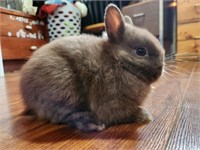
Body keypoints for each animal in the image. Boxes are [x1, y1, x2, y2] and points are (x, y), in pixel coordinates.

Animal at [19, 3, 164, 132]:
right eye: (141, 51)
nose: (160, 69)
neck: (119, 62)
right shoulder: (112, 103)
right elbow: (121, 114)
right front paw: (145, 116)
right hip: (64, 89)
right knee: (64, 115)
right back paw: (92, 124)